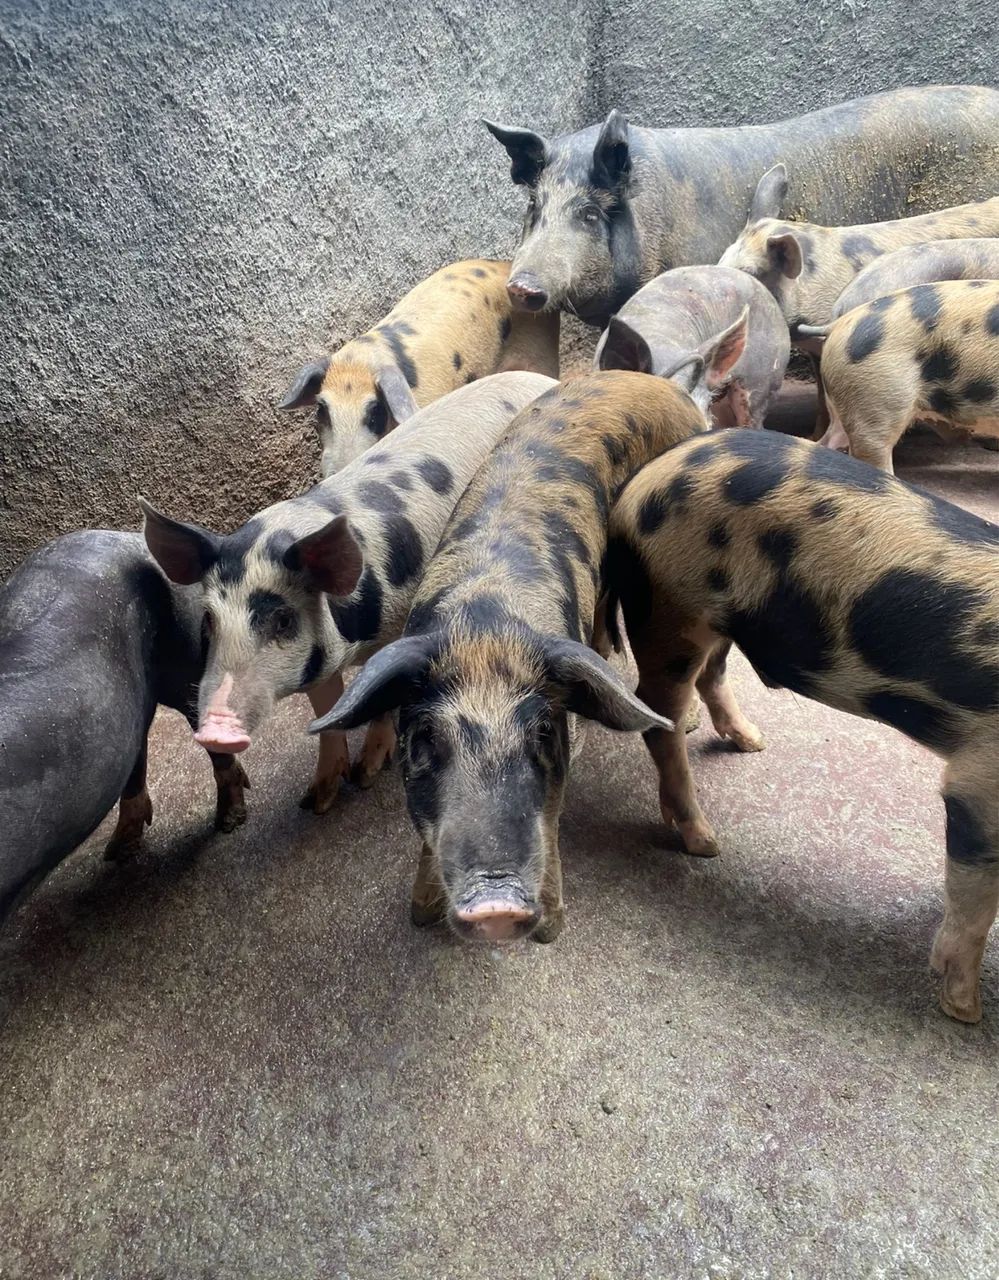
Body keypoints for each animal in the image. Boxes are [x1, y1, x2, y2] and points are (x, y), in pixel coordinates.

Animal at [141, 373, 555, 815]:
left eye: (282, 619)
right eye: (208, 620)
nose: (215, 732)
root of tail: (543, 378)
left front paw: (367, 774)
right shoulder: (316, 658)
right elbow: (326, 713)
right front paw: (316, 801)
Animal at [309, 372, 708, 944]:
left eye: (541, 732)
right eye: (424, 737)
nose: (495, 905)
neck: (486, 622)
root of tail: (656, 382)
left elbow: (553, 815)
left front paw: (551, 932)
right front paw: (421, 915)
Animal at [606, 428, 999, 1022]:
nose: (756, 742)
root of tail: (648, 475)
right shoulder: (979, 782)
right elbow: (974, 903)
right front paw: (965, 1012)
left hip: (716, 619)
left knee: (710, 677)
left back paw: (752, 743)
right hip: (670, 609)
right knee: (660, 717)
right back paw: (704, 843)